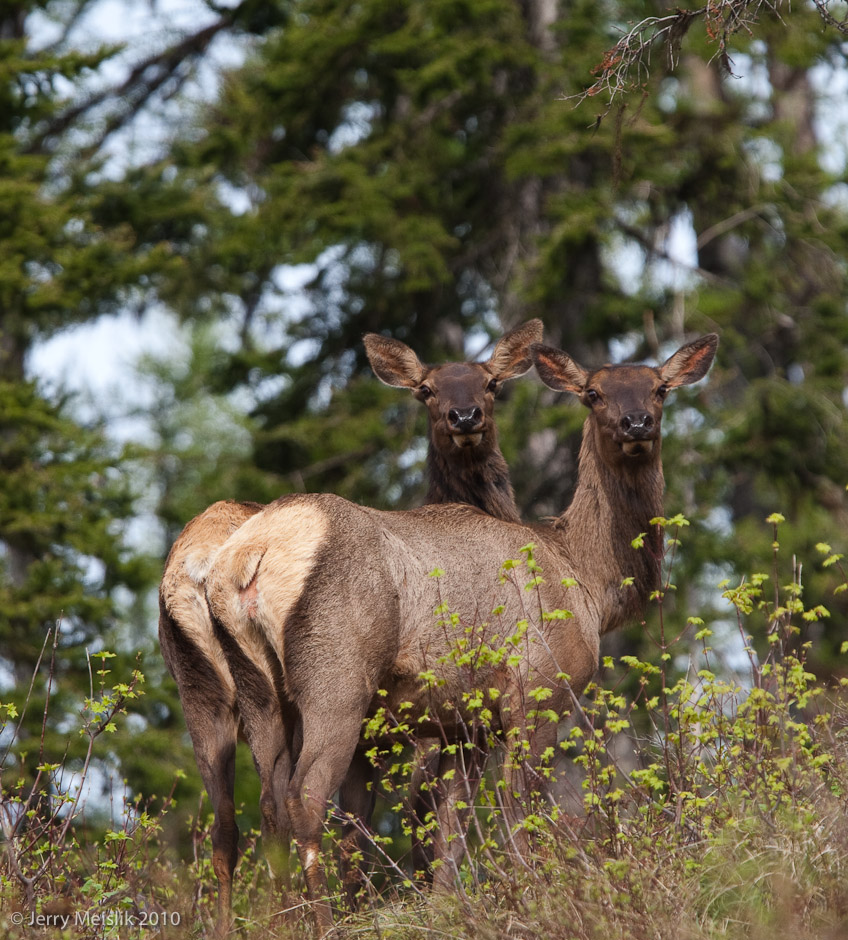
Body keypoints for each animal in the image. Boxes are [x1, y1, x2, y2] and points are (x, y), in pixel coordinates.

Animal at [159, 318, 544, 924]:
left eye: (491, 383)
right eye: (426, 390)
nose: (465, 418)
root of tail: (196, 564)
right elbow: (405, 815)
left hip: (206, 695)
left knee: (232, 823)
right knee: (292, 802)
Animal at [205, 330, 716, 932]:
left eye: (659, 388)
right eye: (593, 394)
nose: (637, 423)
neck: (588, 582)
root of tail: (251, 554)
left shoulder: (464, 721)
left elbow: (450, 824)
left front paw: (450, 905)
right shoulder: (537, 690)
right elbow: (519, 814)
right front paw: (533, 896)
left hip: (257, 686)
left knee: (266, 803)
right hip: (337, 672)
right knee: (304, 797)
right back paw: (324, 921)